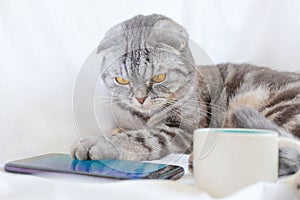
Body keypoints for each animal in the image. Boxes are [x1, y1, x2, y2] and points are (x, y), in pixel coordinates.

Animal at [71, 13, 300, 185]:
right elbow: (126, 130)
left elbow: (139, 139)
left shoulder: (178, 131)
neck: (142, 117)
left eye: (158, 77)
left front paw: (98, 143)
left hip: (279, 112)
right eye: (122, 80)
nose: (140, 98)